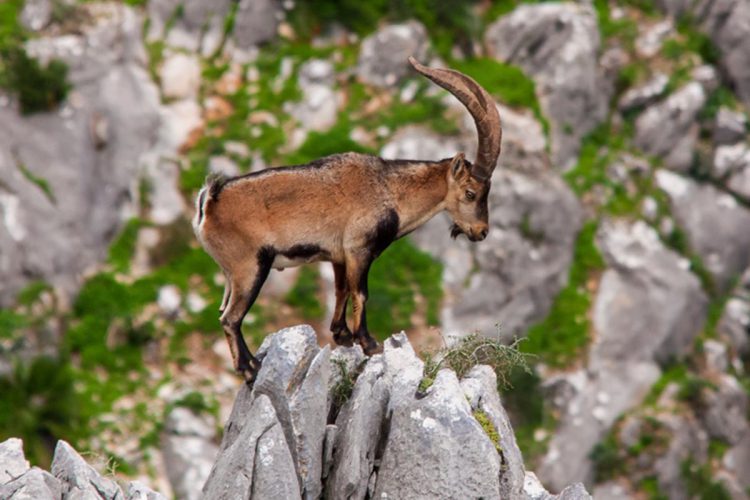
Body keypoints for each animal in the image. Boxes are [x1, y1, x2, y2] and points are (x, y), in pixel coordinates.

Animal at [194, 57, 502, 382]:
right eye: (471, 193)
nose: (481, 231)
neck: (390, 191)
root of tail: (209, 202)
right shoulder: (359, 249)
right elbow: (361, 293)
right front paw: (369, 343)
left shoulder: (338, 256)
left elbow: (341, 289)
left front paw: (341, 335)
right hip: (250, 268)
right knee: (231, 318)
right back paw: (250, 368)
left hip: (233, 274)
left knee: (224, 312)